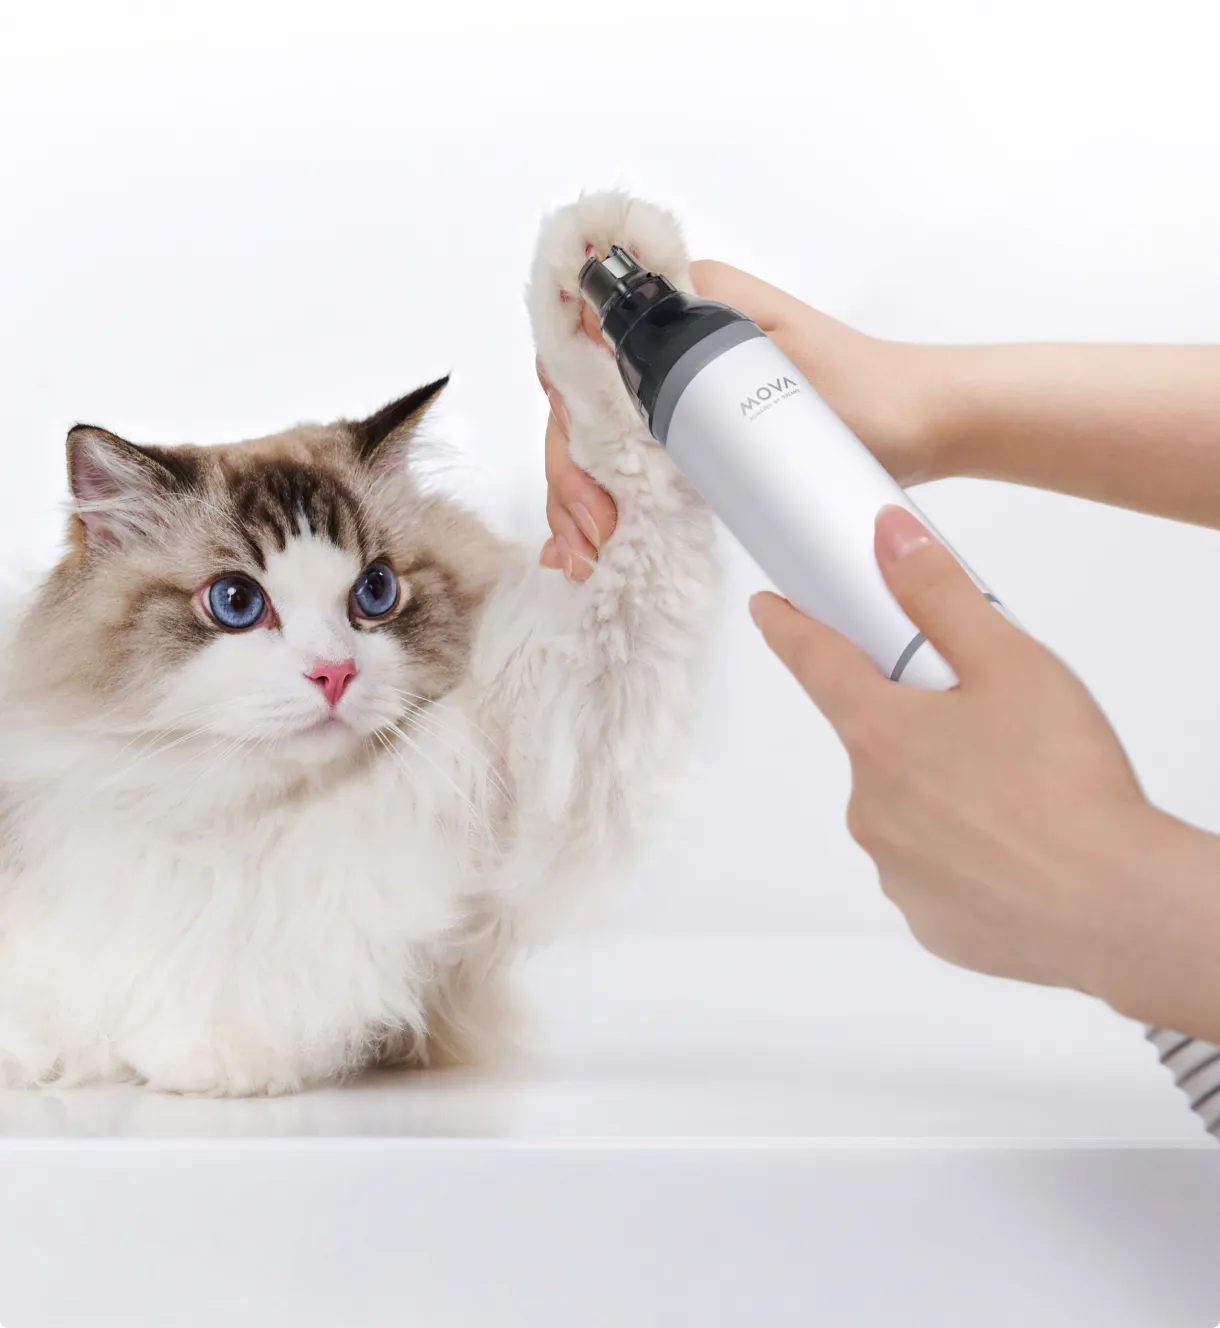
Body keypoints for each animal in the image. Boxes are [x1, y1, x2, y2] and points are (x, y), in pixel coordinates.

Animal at [0, 192, 721, 1096]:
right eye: (236, 602)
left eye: (374, 592)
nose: (334, 673)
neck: (246, 815)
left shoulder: (563, 741)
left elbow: (625, 469)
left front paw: (608, 251)